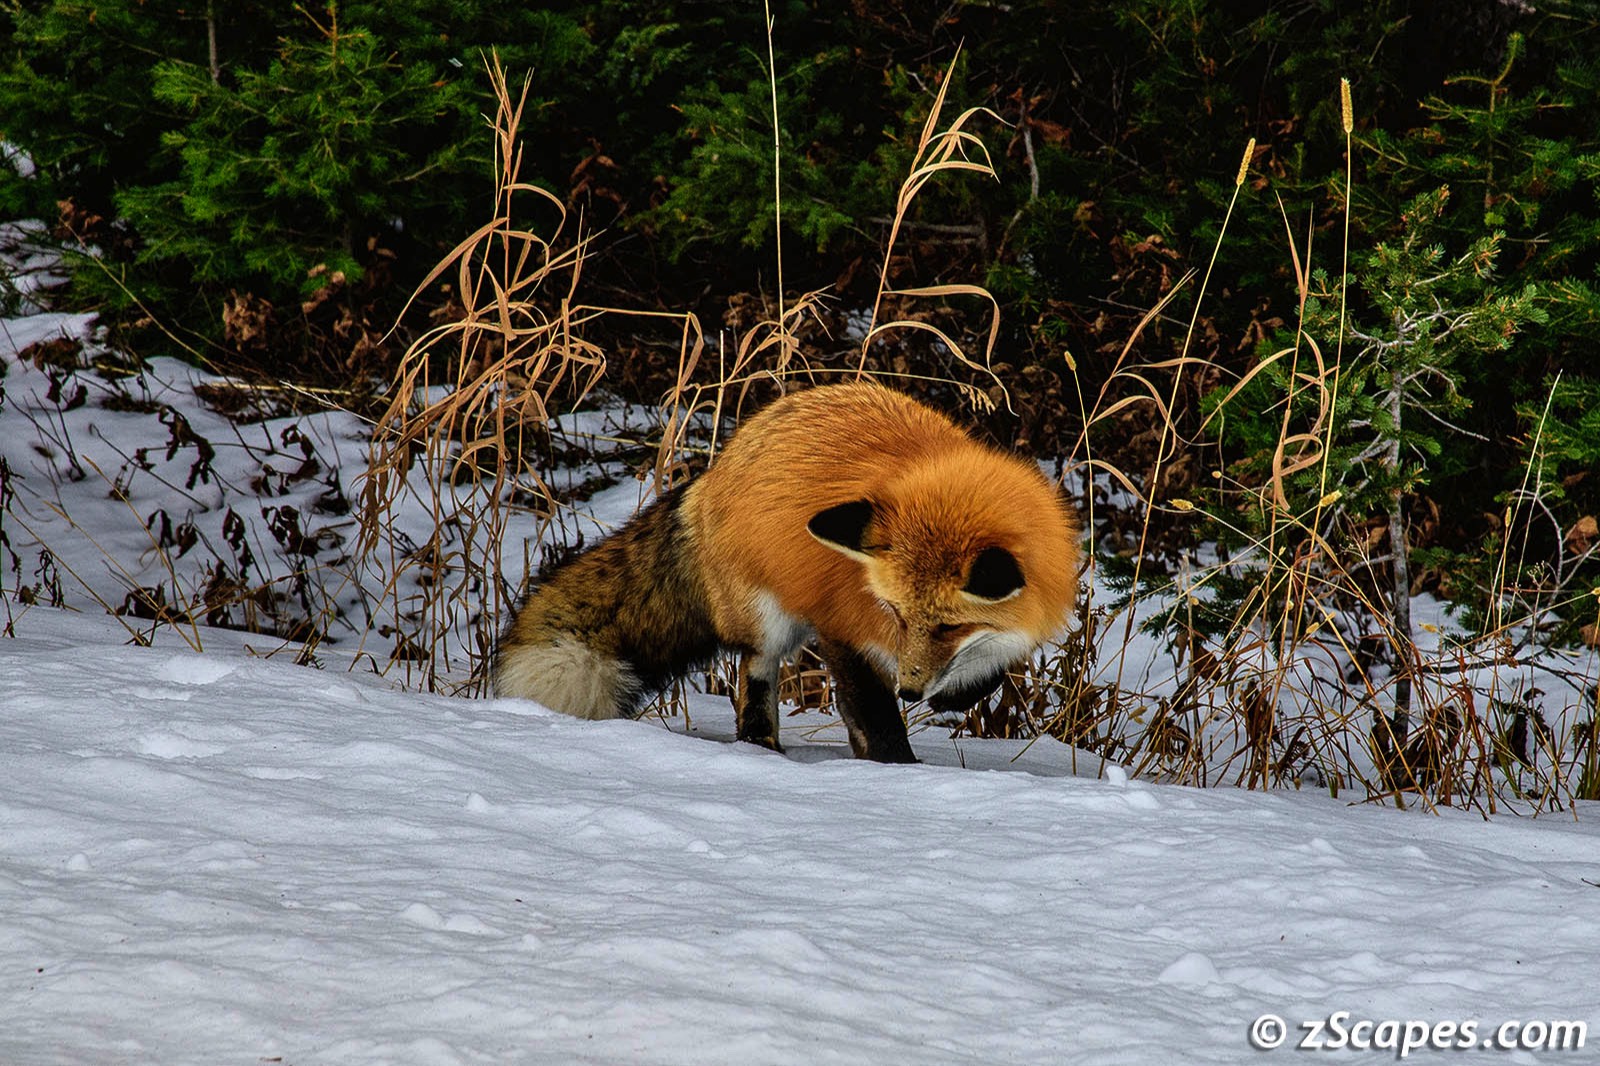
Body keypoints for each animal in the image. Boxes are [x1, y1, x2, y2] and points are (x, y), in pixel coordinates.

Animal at [493, 381, 1080, 762]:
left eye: (949, 626)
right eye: (895, 612)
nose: (912, 693)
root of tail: (714, 470)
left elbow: (985, 672)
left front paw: (957, 693)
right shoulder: (842, 626)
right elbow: (875, 717)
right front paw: (896, 771)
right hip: (767, 619)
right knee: (755, 674)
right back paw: (762, 748)